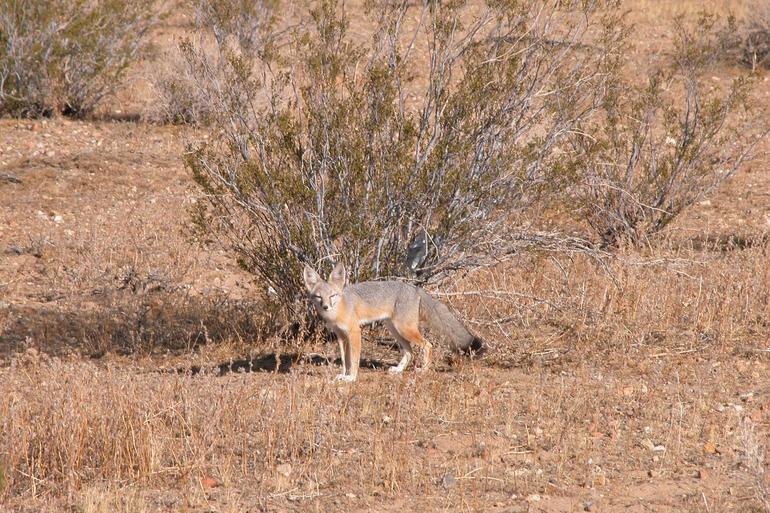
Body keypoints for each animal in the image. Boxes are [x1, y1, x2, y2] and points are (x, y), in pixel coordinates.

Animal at [302, 264, 476, 380]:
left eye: (332, 296)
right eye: (318, 297)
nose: (325, 306)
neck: (339, 309)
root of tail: (414, 288)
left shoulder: (354, 332)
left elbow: (354, 359)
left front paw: (351, 377)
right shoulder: (340, 336)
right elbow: (345, 360)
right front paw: (343, 375)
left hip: (404, 329)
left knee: (428, 345)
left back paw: (424, 369)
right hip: (395, 330)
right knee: (409, 352)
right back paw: (399, 370)